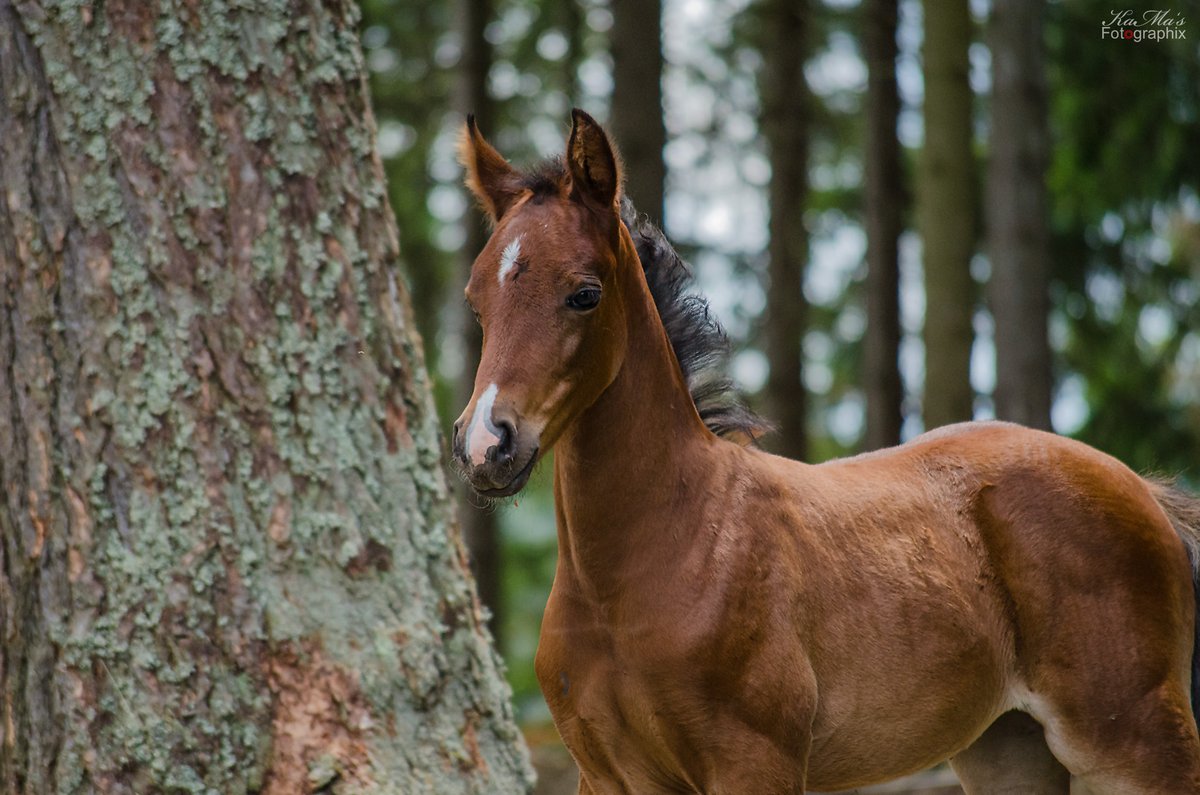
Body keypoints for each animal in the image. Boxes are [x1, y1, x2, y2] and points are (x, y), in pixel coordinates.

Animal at [451, 108, 1200, 794]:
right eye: (477, 298)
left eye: (584, 293)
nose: (486, 444)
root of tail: (1141, 488)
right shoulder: (605, 775)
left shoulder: (755, 763)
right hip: (1009, 747)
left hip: (1133, 740)